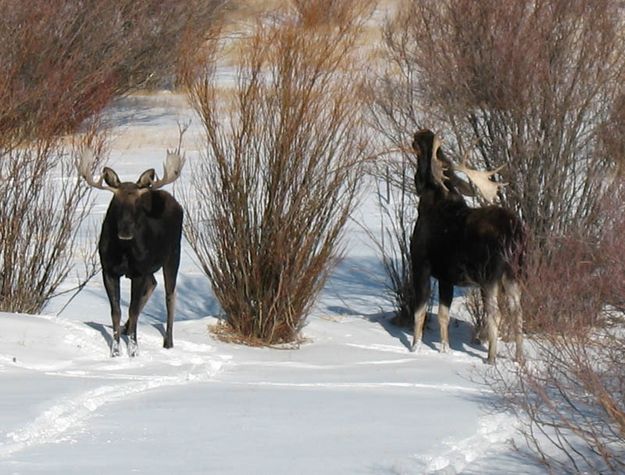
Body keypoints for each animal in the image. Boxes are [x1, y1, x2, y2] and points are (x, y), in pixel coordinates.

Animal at [77, 149, 184, 356]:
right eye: (116, 204)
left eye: (137, 204)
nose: (126, 232)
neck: (124, 252)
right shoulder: (109, 270)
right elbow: (116, 311)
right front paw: (115, 351)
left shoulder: (139, 271)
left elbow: (133, 311)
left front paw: (134, 351)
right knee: (153, 283)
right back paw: (127, 329)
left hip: (173, 253)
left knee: (170, 295)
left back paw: (168, 342)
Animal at [408, 130, 524, 364]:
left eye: (424, 147)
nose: (422, 132)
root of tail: (514, 233)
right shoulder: (445, 276)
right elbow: (443, 315)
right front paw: (445, 350)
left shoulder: (420, 264)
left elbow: (420, 312)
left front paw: (415, 348)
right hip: (513, 273)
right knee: (517, 311)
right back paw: (520, 360)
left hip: (489, 276)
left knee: (496, 313)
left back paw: (491, 358)